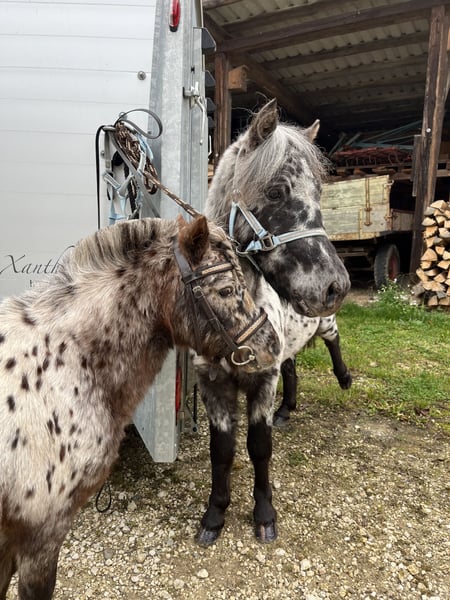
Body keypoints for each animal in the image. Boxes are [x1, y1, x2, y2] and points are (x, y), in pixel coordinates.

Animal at [193, 99, 352, 545]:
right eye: (276, 191)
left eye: (319, 192)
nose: (336, 286)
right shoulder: (213, 385)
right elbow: (222, 451)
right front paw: (214, 516)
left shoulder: (262, 381)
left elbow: (259, 446)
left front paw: (264, 516)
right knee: (293, 368)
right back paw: (288, 410)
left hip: (324, 323)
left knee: (334, 341)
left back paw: (344, 377)